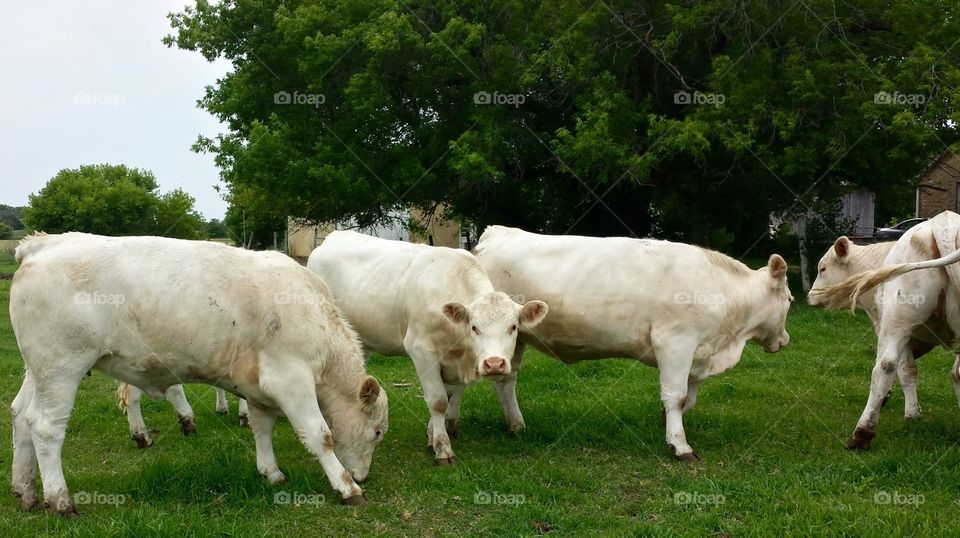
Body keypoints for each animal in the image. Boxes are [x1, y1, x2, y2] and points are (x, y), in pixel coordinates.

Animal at [308, 228, 548, 462]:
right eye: (474, 327)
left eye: (514, 327)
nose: (495, 363)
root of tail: (334, 236)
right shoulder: (422, 351)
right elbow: (438, 401)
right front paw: (443, 449)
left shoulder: (455, 361)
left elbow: (449, 396)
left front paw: (433, 437)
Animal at [474, 224, 796, 458]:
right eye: (791, 299)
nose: (785, 339)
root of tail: (498, 231)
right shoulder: (675, 341)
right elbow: (677, 396)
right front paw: (680, 446)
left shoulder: (699, 353)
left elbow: (687, 398)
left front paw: (666, 424)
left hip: (515, 337)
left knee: (506, 379)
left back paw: (516, 426)